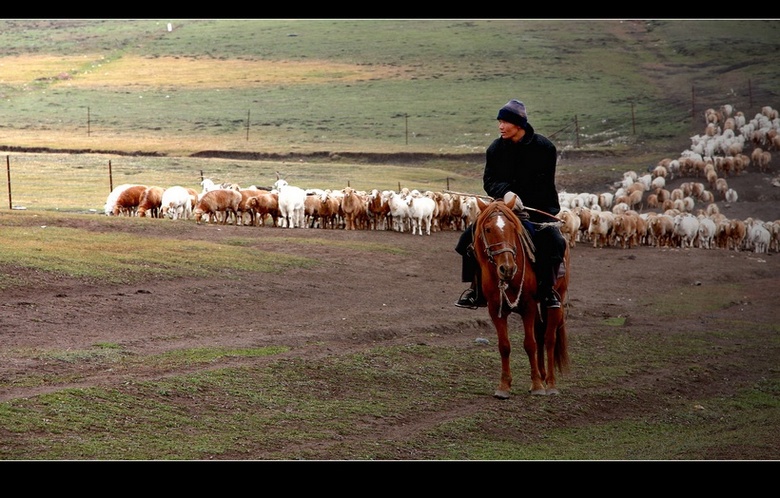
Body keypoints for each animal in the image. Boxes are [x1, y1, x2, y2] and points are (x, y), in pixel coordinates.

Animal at [472, 196, 568, 398]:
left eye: (512, 228)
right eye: (488, 229)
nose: (507, 268)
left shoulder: (528, 306)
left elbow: (529, 344)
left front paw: (538, 385)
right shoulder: (495, 309)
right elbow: (504, 346)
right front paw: (504, 386)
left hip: (556, 301)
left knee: (550, 339)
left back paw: (550, 384)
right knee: (540, 333)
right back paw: (542, 374)